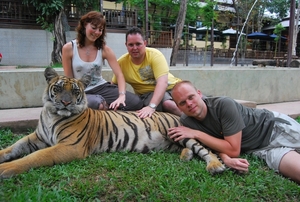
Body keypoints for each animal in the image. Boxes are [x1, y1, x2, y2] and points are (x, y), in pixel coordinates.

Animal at [0, 67, 225, 178]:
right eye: (58, 88)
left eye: (75, 91)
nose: (65, 102)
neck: (52, 114)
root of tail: (178, 116)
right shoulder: (37, 137)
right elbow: (14, 147)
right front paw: (3, 156)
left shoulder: (70, 146)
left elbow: (35, 157)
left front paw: (5, 169)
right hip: (173, 141)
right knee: (190, 149)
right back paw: (186, 156)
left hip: (185, 135)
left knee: (207, 150)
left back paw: (215, 166)